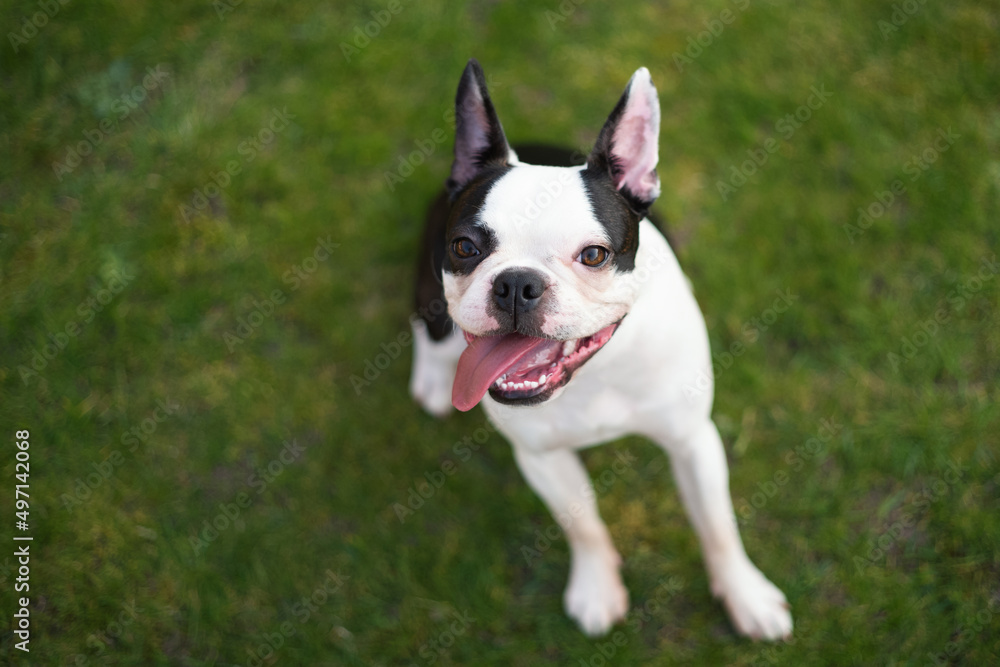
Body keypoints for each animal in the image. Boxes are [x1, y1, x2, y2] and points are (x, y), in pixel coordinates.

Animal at [406, 60, 788, 640]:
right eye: (465, 248)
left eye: (593, 255)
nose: (516, 283)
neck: (595, 374)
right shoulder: (542, 458)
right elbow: (582, 524)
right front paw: (597, 589)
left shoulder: (692, 439)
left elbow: (717, 524)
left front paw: (746, 595)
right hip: (429, 296)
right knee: (427, 328)